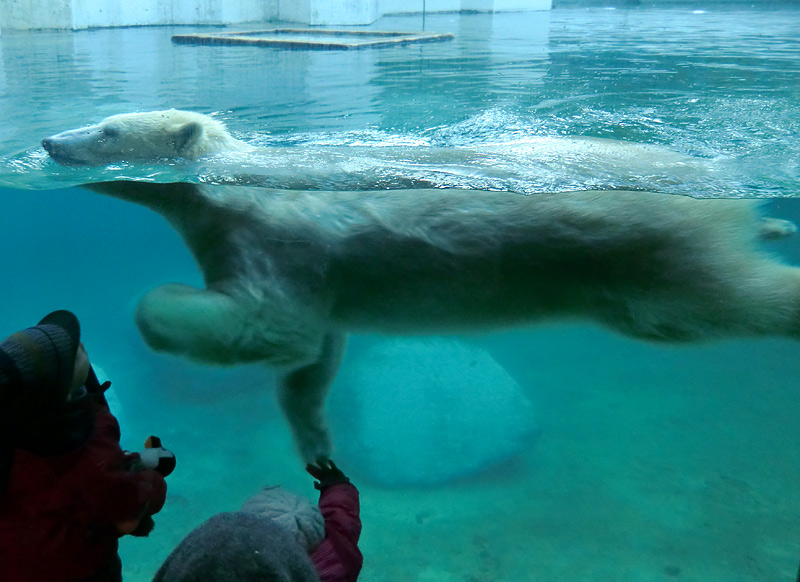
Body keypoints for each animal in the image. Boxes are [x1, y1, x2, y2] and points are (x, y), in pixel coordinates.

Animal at [84, 180, 800, 464]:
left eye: (106, 132)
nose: (59, 143)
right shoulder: (315, 279)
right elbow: (316, 352)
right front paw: (317, 443)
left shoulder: (271, 243)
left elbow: (269, 323)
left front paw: (153, 307)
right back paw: (774, 226)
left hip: (646, 258)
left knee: (714, 300)